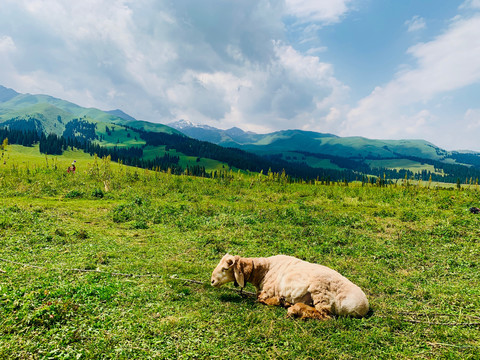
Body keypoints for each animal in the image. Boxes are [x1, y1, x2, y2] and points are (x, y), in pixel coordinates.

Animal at [208, 255, 370, 320]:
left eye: (225, 269)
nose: (212, 281)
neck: (264, 269)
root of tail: (363, 306)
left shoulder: (267, 291)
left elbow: (260, 299)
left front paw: (279, 301)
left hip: (320, 291)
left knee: (324, 316)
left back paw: (295, 309)